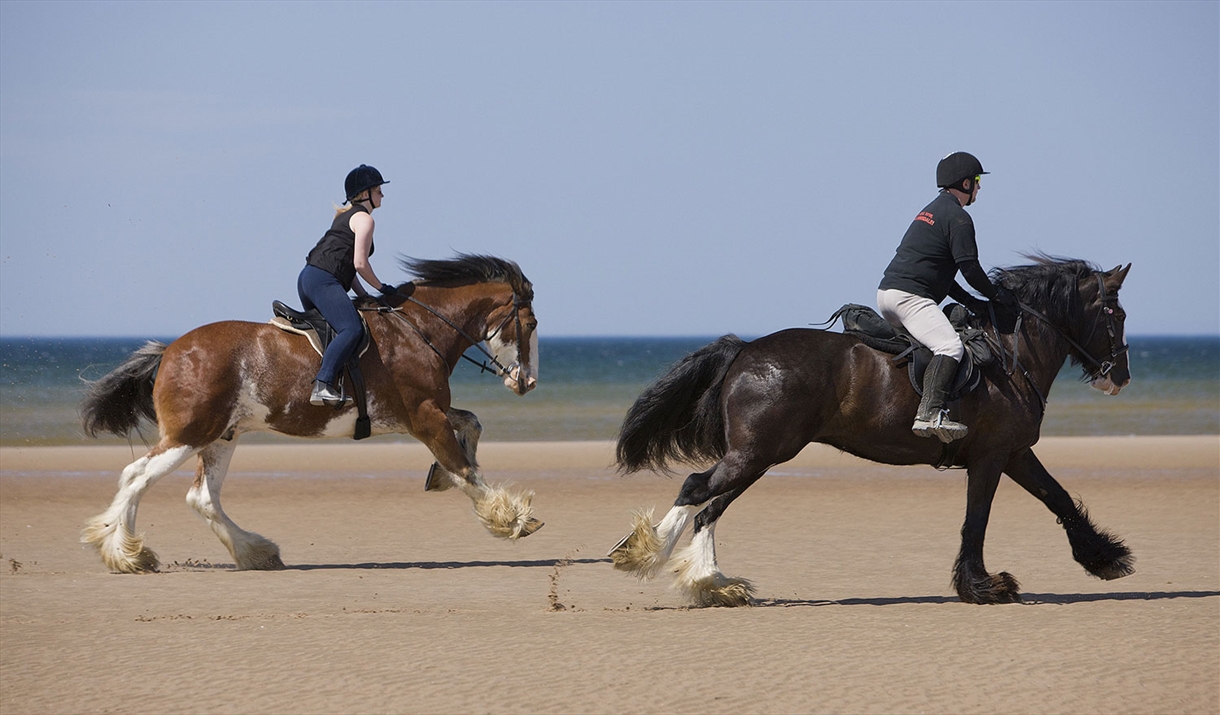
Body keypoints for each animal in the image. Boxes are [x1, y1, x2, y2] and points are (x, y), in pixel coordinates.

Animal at [82, 253, 544, 571]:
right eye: (532, 324)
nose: (528, 383)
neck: (419, 329)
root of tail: (170, 351)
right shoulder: (425, 416)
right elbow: (466, 471)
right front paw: (511, 518)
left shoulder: (430, 411)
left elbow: (472, 427)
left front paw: (442, 477)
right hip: (190, 434)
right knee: (137, 476)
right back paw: (125, 554)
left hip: (221, 436)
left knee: (202, 496)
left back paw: (256, 553)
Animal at [614, 256, 1137, 600]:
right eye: (1117, 313)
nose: (1120, 377)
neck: (1011, 353)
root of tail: (744, 349)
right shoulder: (990, 458)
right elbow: (977, 521)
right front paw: (983, 586)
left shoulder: (1014, 453)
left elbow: (1058, 497)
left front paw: (1106, 558)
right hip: (756, 454)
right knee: (696, 488)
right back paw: (650, 554)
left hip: (760, 457)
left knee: (709, 507)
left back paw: (711, 582)